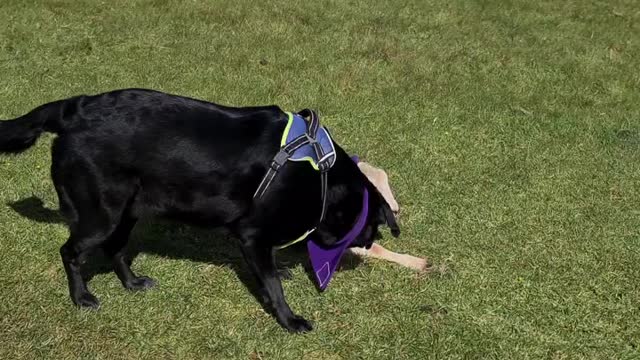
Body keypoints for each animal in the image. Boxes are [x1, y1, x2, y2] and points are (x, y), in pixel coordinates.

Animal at [0, 88, 398, 334]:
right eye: (372, 229)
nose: (367, 246)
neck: (321, 174)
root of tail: (74, 110)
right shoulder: (251, 235)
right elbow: (271, 284)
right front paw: (289, 319)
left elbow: (271, 270)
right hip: (102, 214)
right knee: (71, 251)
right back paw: (81, 297)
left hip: (129, 209)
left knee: (115, 249)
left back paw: (132, 283)